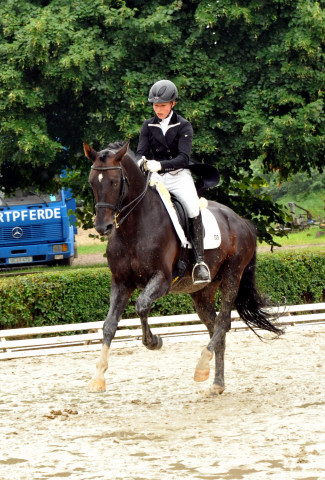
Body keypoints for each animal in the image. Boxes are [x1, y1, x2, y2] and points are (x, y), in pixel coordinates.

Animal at [84, 141, 284, 396]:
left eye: (115, 182)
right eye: (92, 182)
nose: (103, 227)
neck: (134, 226)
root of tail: (242, 222)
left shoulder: (161, 280)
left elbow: (141, 306)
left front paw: (153, 342)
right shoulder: (121, 282)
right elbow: (109, 325)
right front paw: (98, 378)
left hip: (233, 275)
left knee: (223, 322)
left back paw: (202, 367)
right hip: (203, 291)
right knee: (215, 326)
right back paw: (216, 383)